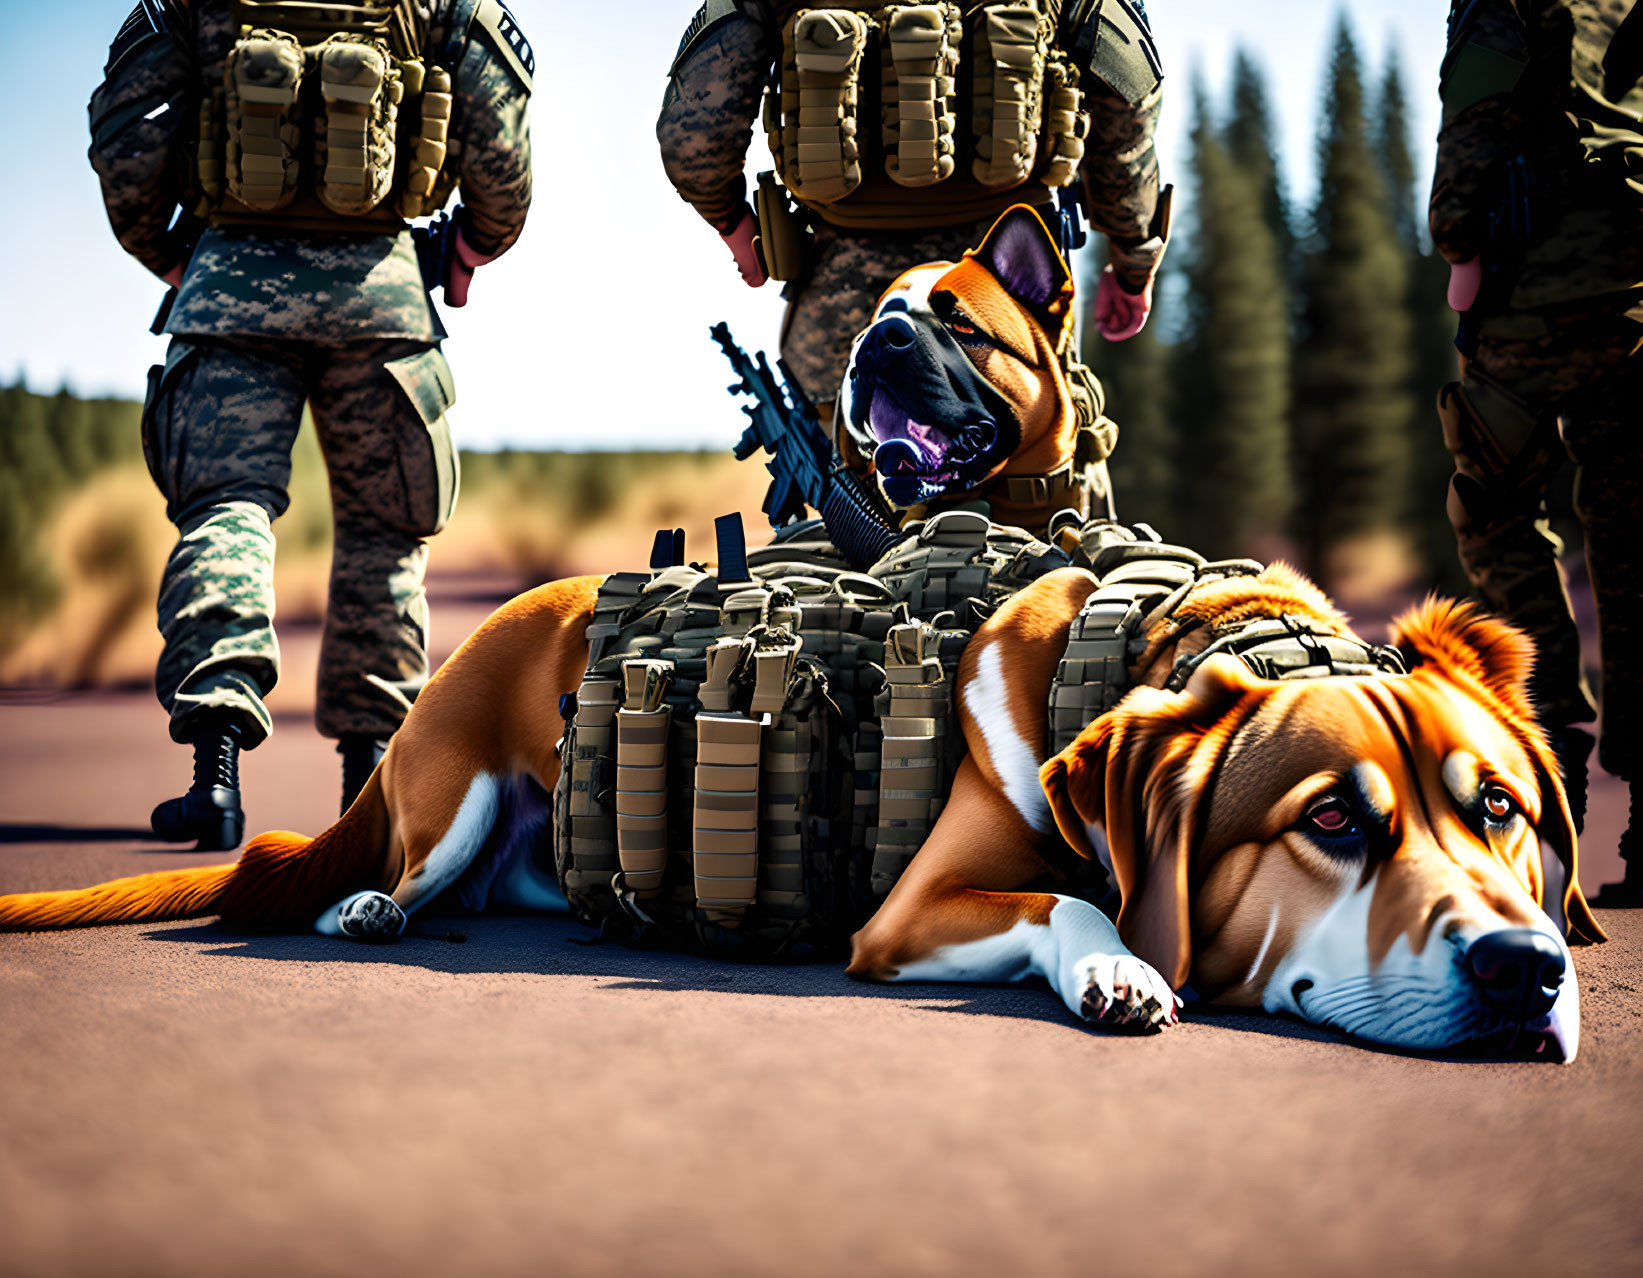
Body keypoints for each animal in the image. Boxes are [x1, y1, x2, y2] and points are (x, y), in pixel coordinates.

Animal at [0, 211, 1596, 1064]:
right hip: (444, 797)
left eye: (1501, 813)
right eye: (1330, 820)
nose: (1524, 971)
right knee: (387, 864)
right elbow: (1068, 905)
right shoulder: (917, 909)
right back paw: (371, 907)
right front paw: (1119, 971)